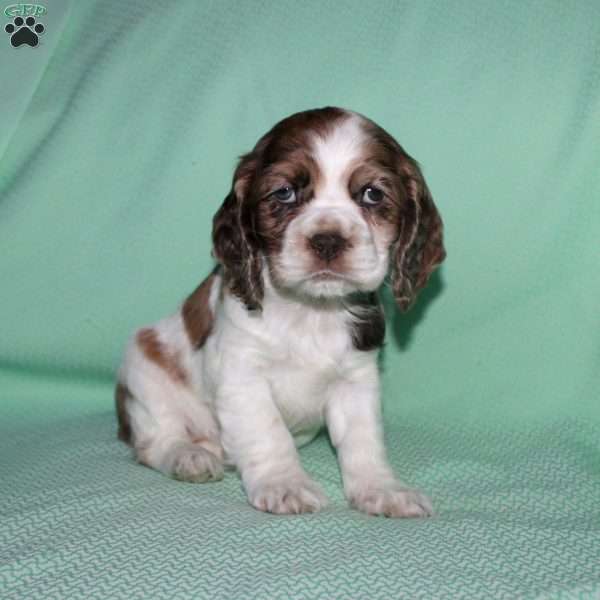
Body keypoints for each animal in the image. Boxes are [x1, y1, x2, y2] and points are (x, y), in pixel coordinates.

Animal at [117, 106, 446, 516]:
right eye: (285, 193)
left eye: (372, 194)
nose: (327, 240)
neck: (311, 311)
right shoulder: (242, 375)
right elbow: (268, 432)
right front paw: (285, 484)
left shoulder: (356, 380)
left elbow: (364, 441)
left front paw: (383, 489)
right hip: (143, 370)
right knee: (155, 441)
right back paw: (190, 456)